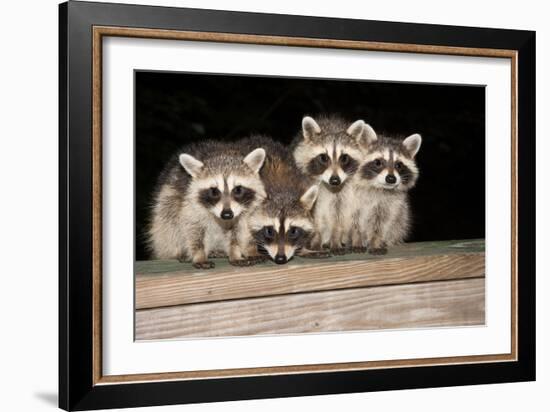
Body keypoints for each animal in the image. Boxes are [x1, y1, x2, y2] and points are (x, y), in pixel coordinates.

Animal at [147, 140, 268, 268]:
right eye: (214, 191)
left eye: (238, 189)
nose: (227, 214)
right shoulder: (189, 205)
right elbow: (192, 229)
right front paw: (199, 255)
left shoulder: (244, 213)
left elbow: (239, 233)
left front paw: (236, 252)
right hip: (166, 203)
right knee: (169, 224)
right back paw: (179, 251)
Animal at [237, 135, 324, 264]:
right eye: (269, 231)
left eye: (293, 231)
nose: (280, 258)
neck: (282, 189)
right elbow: (243, 228)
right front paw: (251, 249)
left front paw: (303, 247)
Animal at [294, 114, 376, 253]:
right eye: (323, 158)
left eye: (344, 158)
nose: (335, 180)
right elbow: (315, 215)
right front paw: (316, 239)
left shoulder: (344, 193)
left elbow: (339, 215)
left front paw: (336, 238)